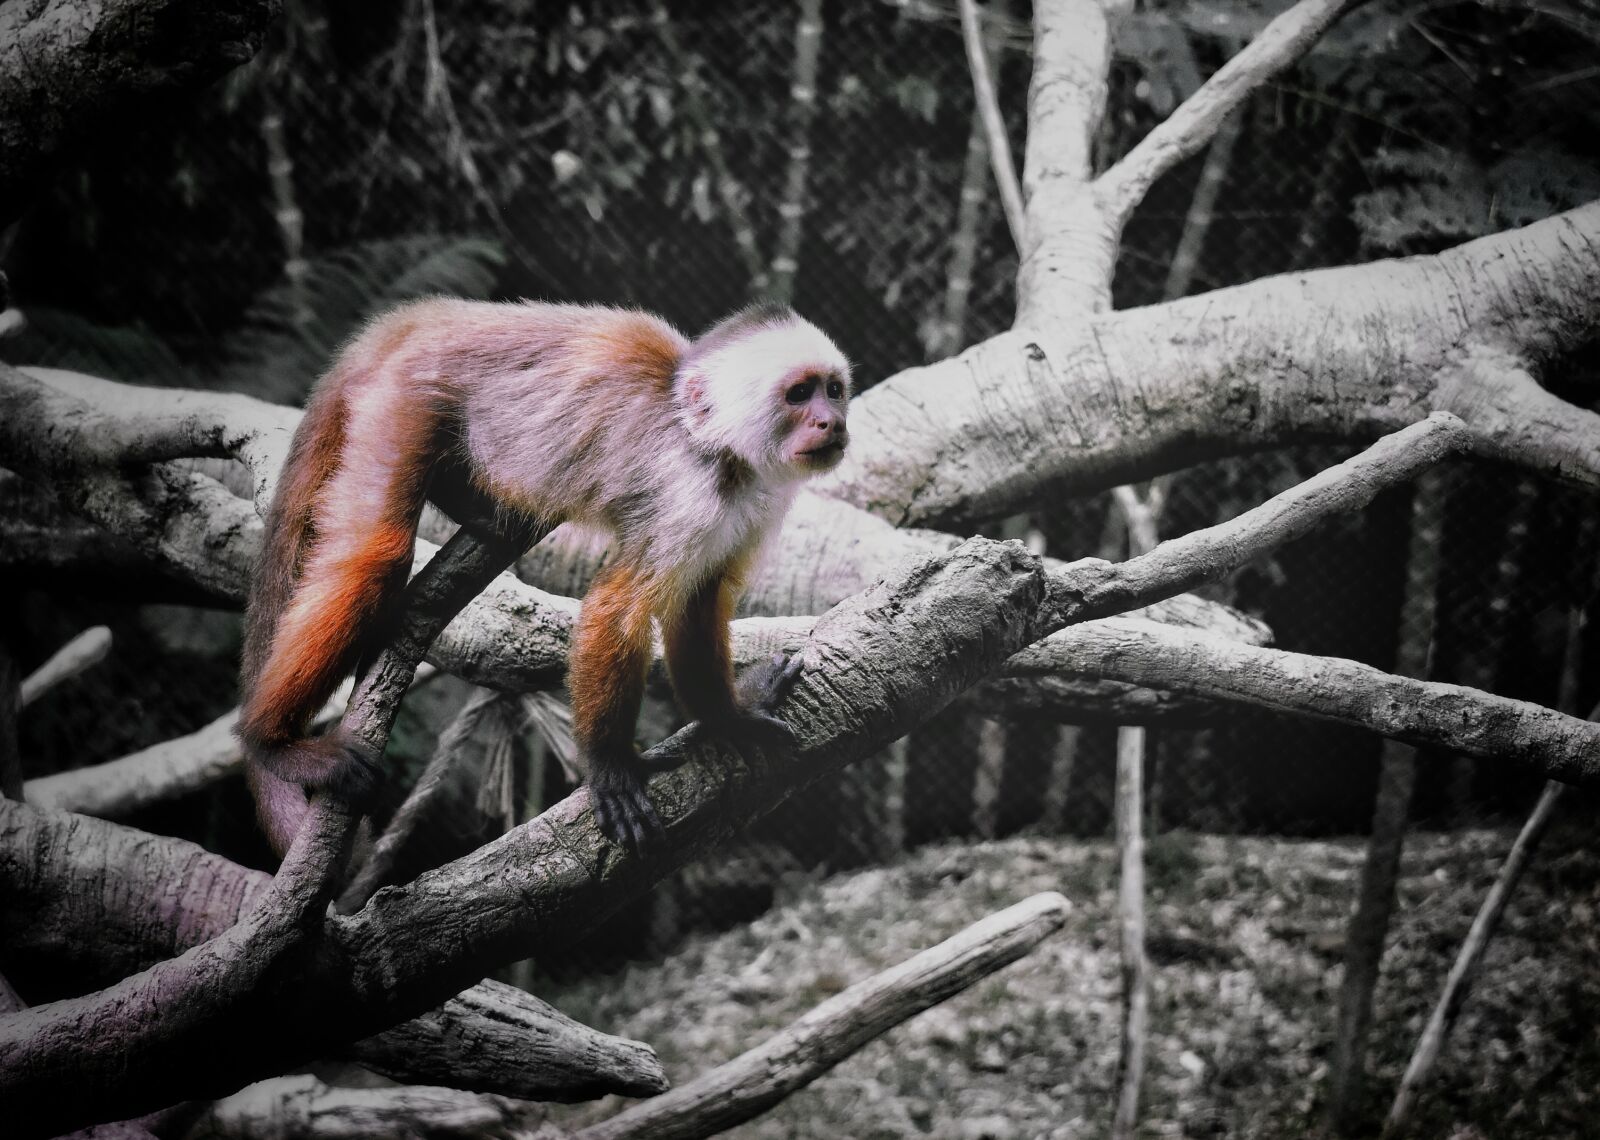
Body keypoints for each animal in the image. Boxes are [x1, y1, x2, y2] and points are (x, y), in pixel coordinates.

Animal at [237, 299, 850, 856]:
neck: (714, 446)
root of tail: (427, 317)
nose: (833, 422)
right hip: (403, 399)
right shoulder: (688, 496)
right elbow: (617, 607)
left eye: (833, 390)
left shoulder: (753, 502)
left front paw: (730, 719)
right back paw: (270, 742)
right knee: (375, 556)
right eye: (799, 395)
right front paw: (611, 768)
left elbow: (698, 601)